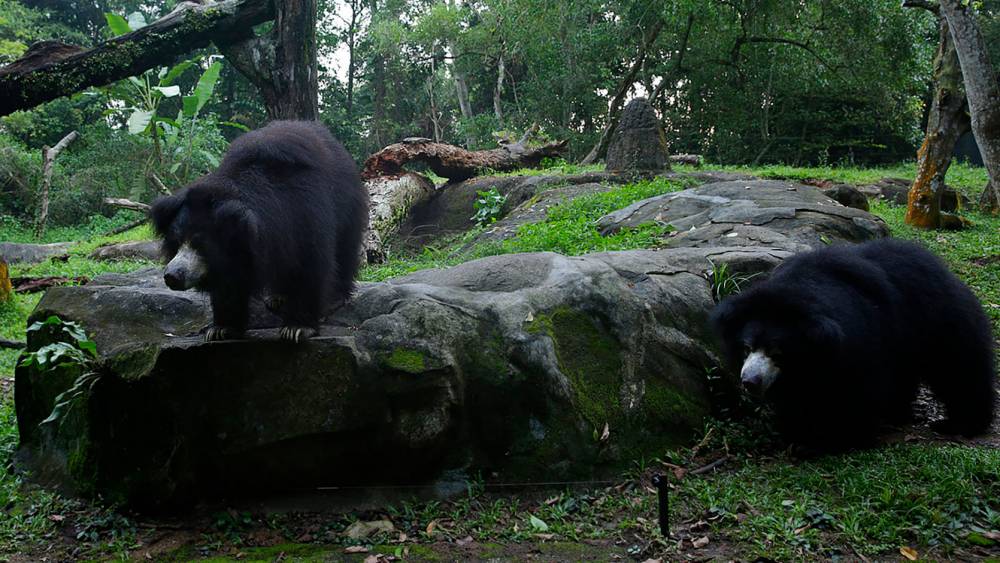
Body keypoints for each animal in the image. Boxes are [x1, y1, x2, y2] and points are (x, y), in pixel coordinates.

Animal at [150, 120, 368, 343]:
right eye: (176, 242)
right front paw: (220, 328)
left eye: (200, 244)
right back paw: (276, 297)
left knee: (344, 249)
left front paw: (297, 328)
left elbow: (310, 264)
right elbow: (228, 286)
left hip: (347, 205)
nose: (172, 275)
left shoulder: (305, 213)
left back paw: (335, 298)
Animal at [711, 238, 995, 450]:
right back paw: (898, 412)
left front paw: (837, 437)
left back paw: (960, 424)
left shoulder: (861, 344)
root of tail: (941, 268)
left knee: (959, 368)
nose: (750, 381)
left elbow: (856, 391)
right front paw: (796, 430)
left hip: (941, 321)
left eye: (778, 353)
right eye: (746, 348)